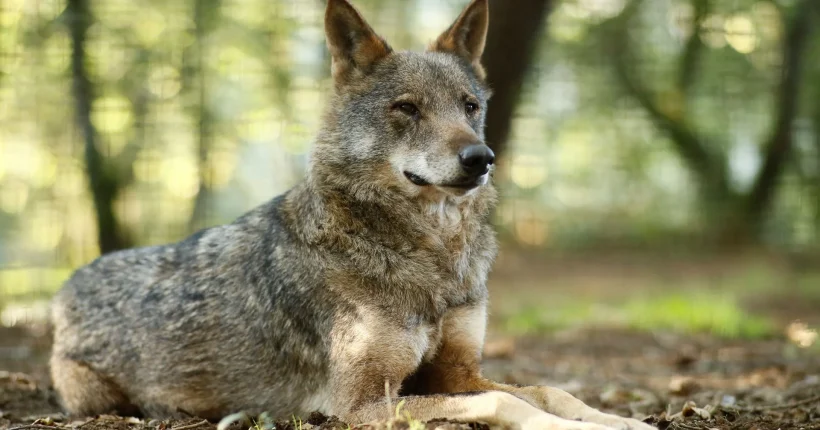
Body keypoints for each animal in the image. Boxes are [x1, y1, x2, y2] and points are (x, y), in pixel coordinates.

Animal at [49, 1, 655, 429]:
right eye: (407, 108)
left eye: (470, 107)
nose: (481, 158)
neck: (431, 256)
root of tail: (67, 286)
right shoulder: (359, 402)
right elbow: (508, 406)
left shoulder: (459, 371)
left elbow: (552, 390)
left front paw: (615, 420)